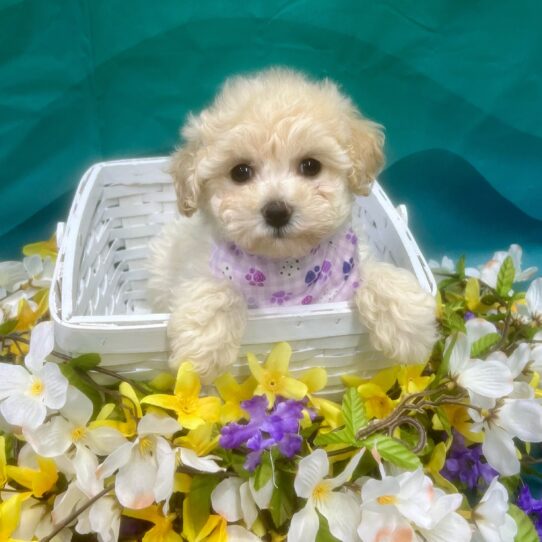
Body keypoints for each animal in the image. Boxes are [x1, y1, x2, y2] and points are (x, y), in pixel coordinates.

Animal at [148, 68, 438, 382]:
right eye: (240, 172)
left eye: (310, 166)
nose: (277, 211)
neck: (286, 268)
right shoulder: (197, 270)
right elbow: (217, 291)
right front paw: (201, 353)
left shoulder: (349, 266)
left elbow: (378, 274)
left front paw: (408, 327)